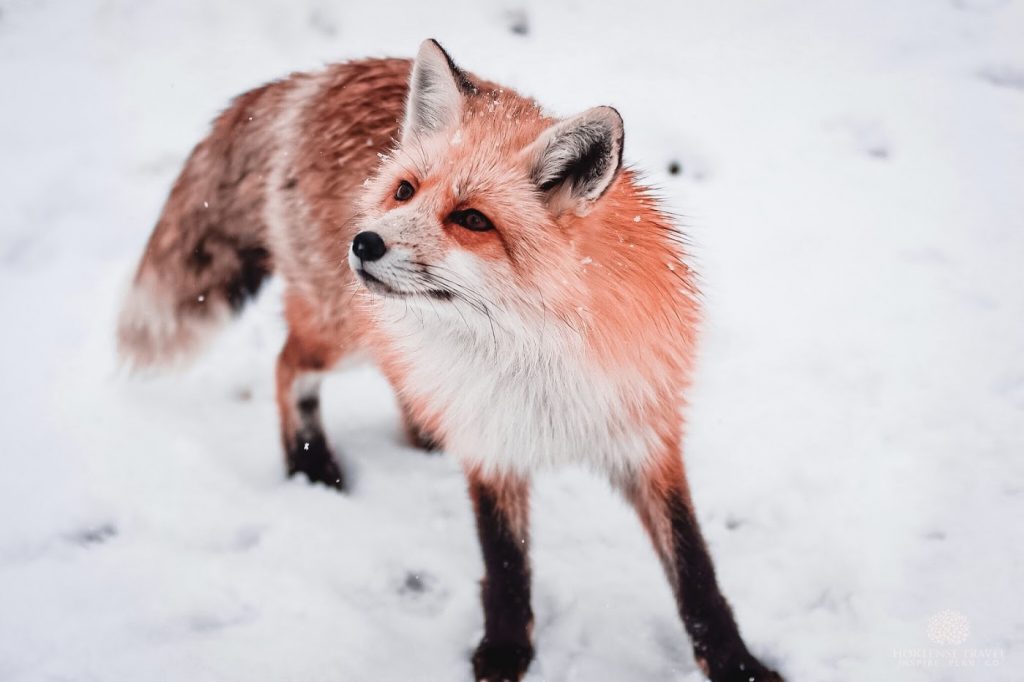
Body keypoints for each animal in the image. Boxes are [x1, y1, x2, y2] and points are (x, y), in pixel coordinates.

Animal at [116, 38, 778, 679]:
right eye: (406, 191)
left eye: (471, 219)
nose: (364, 243)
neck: (538, 360)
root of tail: (321, 75)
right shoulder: (492, 441)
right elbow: (506, 563)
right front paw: (505, 656)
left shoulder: (646, 436)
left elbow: (695, 573)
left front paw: (737, 664)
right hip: (344, 332)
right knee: (286, 365)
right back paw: (310, 463)